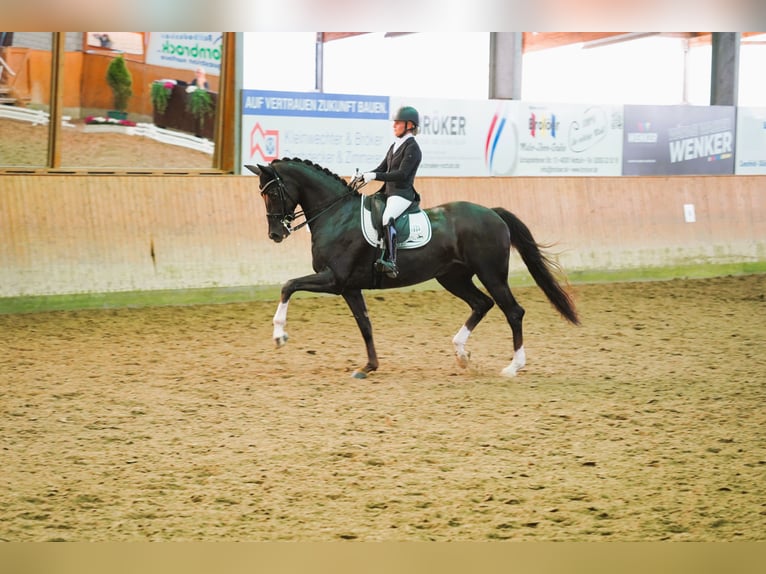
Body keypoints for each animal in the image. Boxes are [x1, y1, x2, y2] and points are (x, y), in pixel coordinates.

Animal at [249, 160, 580, 380]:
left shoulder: (334, 279)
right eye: (262, 195)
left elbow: (288, 285)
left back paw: (513, 366)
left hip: (491, 274)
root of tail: (492, 213)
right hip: (452, 277)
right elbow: (365, 324)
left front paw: (279, 335)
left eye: (272, 194)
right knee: (481, 304)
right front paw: (368, 367)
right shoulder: (349, 287)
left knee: (512, 311)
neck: (336, 214)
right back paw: (461, 353)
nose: (276, 234)